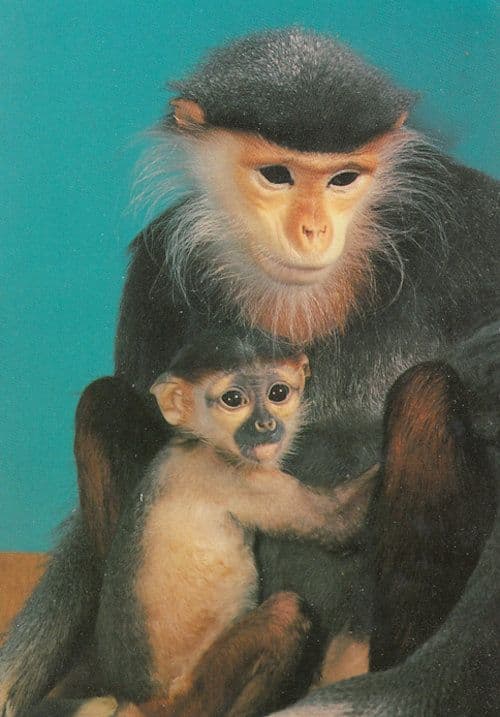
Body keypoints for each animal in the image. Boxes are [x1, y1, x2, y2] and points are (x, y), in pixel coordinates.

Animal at [1, 27, 498, 717]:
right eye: (277, 176)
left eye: (344, 179)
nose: (313, 229)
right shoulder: (155, 273)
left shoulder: (472, 226)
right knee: (103, 400)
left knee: (425, 391)